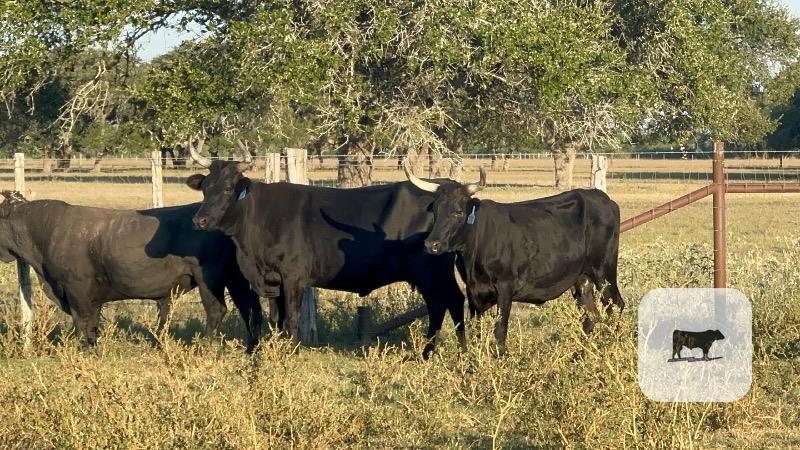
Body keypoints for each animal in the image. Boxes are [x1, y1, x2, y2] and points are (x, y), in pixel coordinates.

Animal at [0, 191, 263, 350]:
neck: (47, 229)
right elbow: (92, 320)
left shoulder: (76, 288)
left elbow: (82, 320)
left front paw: (85, 348)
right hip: (236, 278)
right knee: (250, 308)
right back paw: (252, 346)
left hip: (210, 277)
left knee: (217, 310)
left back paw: (204, 346)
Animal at [184, 139, 465, 358]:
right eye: (205, 188)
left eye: (228, 188)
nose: (200, 220)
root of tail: (445, 186)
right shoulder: (273, 279)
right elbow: (277, 319)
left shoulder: (294, 277)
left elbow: (293, 318)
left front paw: (292, 350)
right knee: (450, 301)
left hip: (431, 273)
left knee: (443, 303)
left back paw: (432, 351)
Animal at [405, 167, 624, 354]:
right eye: (435, 211)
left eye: (458, 212)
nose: (431, 244)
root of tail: (601, 197)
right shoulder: (473, 291)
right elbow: (477, 332)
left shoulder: (505, 286)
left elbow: (500, 330)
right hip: (582, 277)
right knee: (590, 315)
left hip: (604, 271)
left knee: (615, 305)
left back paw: (615, 346)